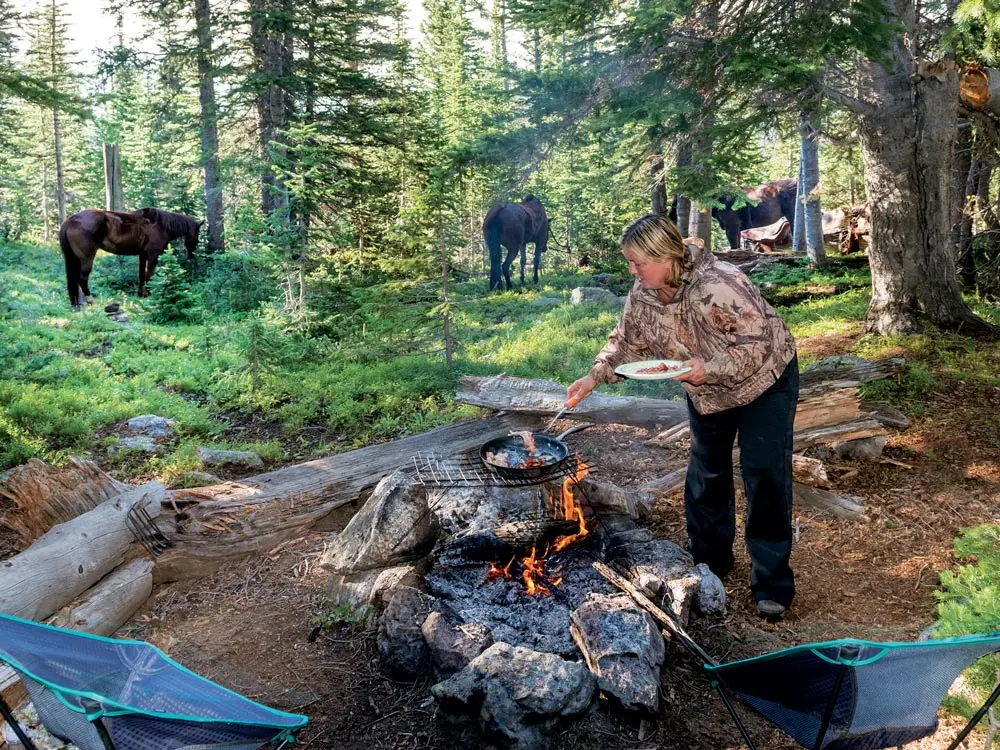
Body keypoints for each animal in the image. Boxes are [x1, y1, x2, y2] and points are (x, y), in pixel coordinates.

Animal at [58, 207, 203, 310]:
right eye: (197, 233)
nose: (192, 255)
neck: (160, 224)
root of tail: (70, 220)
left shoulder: (142, 255)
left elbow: (141, 276)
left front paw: (141, 295)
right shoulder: (153, 255)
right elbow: (149, 275)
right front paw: (149, 294)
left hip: (73, 258)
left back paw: (76, 303)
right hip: (86, 258)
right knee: (82, 279)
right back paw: (90, 301)